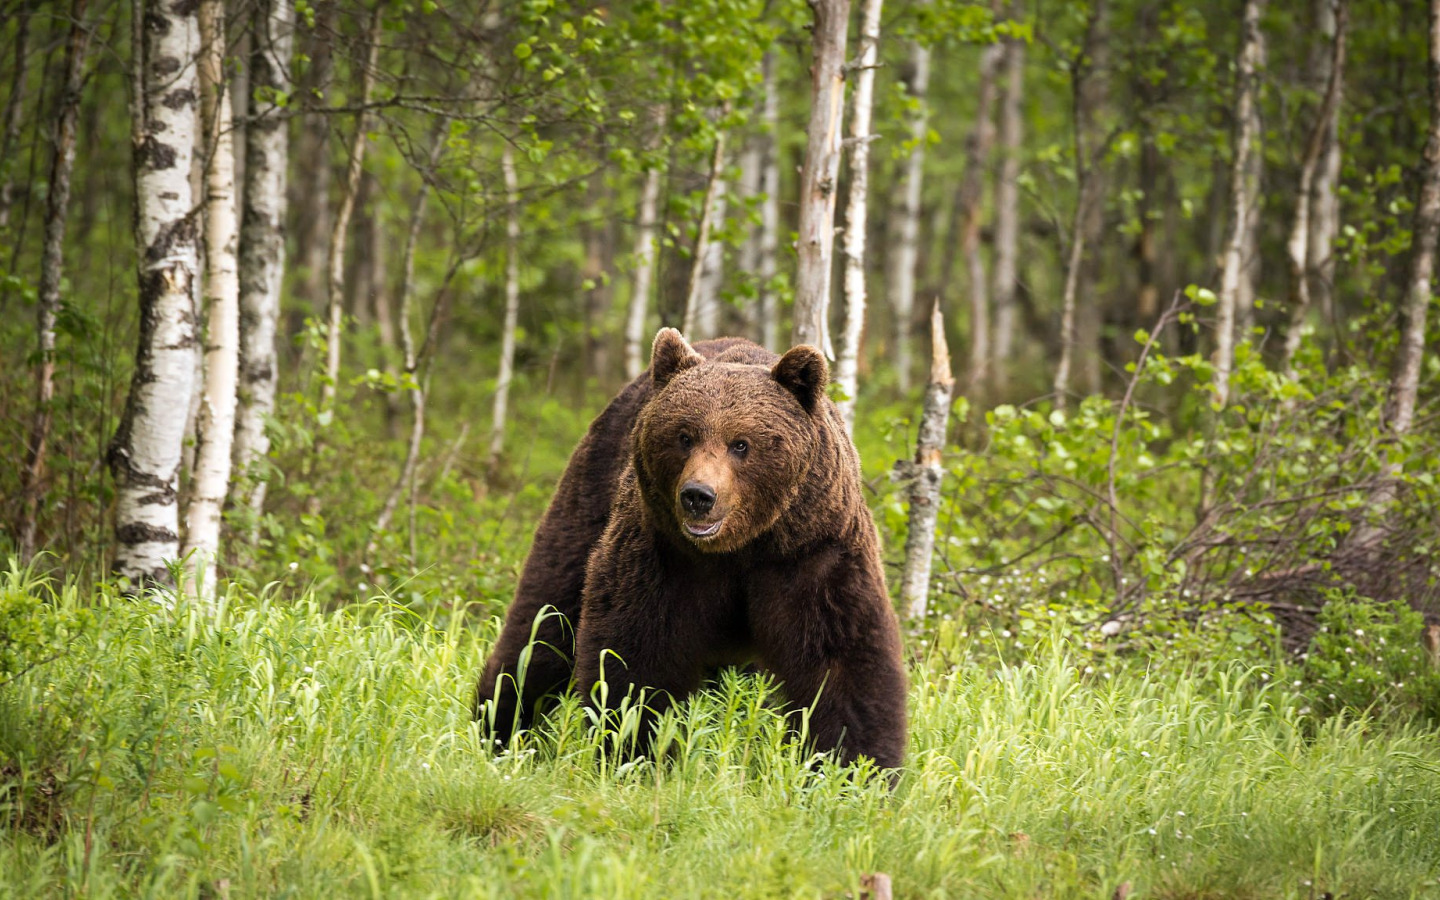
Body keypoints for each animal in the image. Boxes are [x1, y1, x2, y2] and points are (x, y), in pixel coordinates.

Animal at [478, 328, 904, 766]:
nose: (698, 495)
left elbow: (843, 661)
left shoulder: (812, 552)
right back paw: (498, 726)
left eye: (741, 443)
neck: (741, 547)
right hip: (589, 497)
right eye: (684, 436)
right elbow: (636, 655)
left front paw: (856, 764)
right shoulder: (662, 555)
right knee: (543, 624)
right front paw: (636, 748)